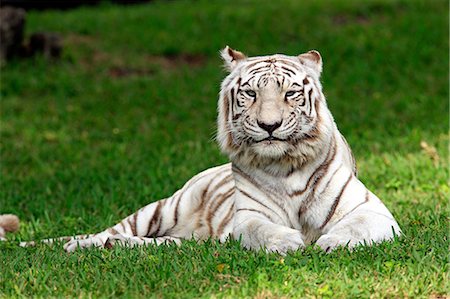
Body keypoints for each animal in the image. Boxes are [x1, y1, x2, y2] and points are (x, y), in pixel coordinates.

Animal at [16, 47, 400, 255]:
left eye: (290, 93)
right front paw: (288, 243)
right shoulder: (247, 217)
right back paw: (70, 246)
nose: (270, 125)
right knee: (105, 232)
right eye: (250, 93)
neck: (285, 165)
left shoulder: (375, 212)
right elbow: (261, 230)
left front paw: (329, 243)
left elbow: (356, 228)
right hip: (159, 210)